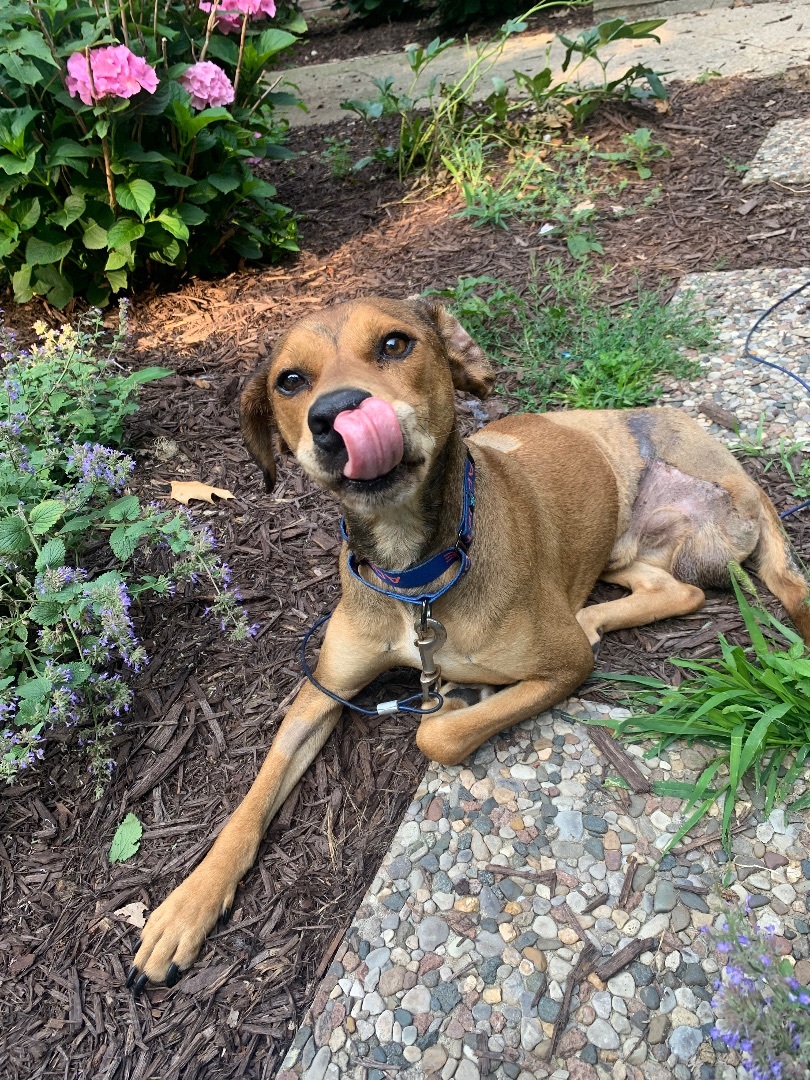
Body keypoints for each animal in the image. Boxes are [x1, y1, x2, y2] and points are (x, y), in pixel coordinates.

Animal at [128, 296, 810, 991]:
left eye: (395, 344)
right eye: (290, 380)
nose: (335, 413)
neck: (417, 576)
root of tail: (739, 472)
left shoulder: (566, 666)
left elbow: (439, 735)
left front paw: (458, 699)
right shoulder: (323, 692)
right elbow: (252, 799)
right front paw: (185, 907)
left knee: (685, 593)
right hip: (624, 551)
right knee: (678, 592)